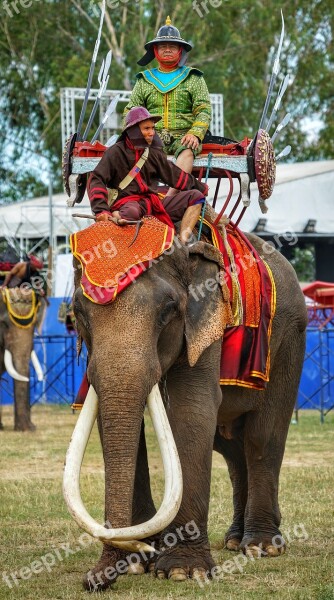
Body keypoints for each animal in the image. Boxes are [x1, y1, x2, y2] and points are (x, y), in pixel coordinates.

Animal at [66, 224, 310, 592]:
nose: (94, 581)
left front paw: (183, 571)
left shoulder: (206, 324)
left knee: (262, 437)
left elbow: (192, 408)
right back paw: (234, 540)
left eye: (168, 310)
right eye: (79, 312)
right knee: (231, 447)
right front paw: (136, 565)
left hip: (290, 338)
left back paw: (262, 546)